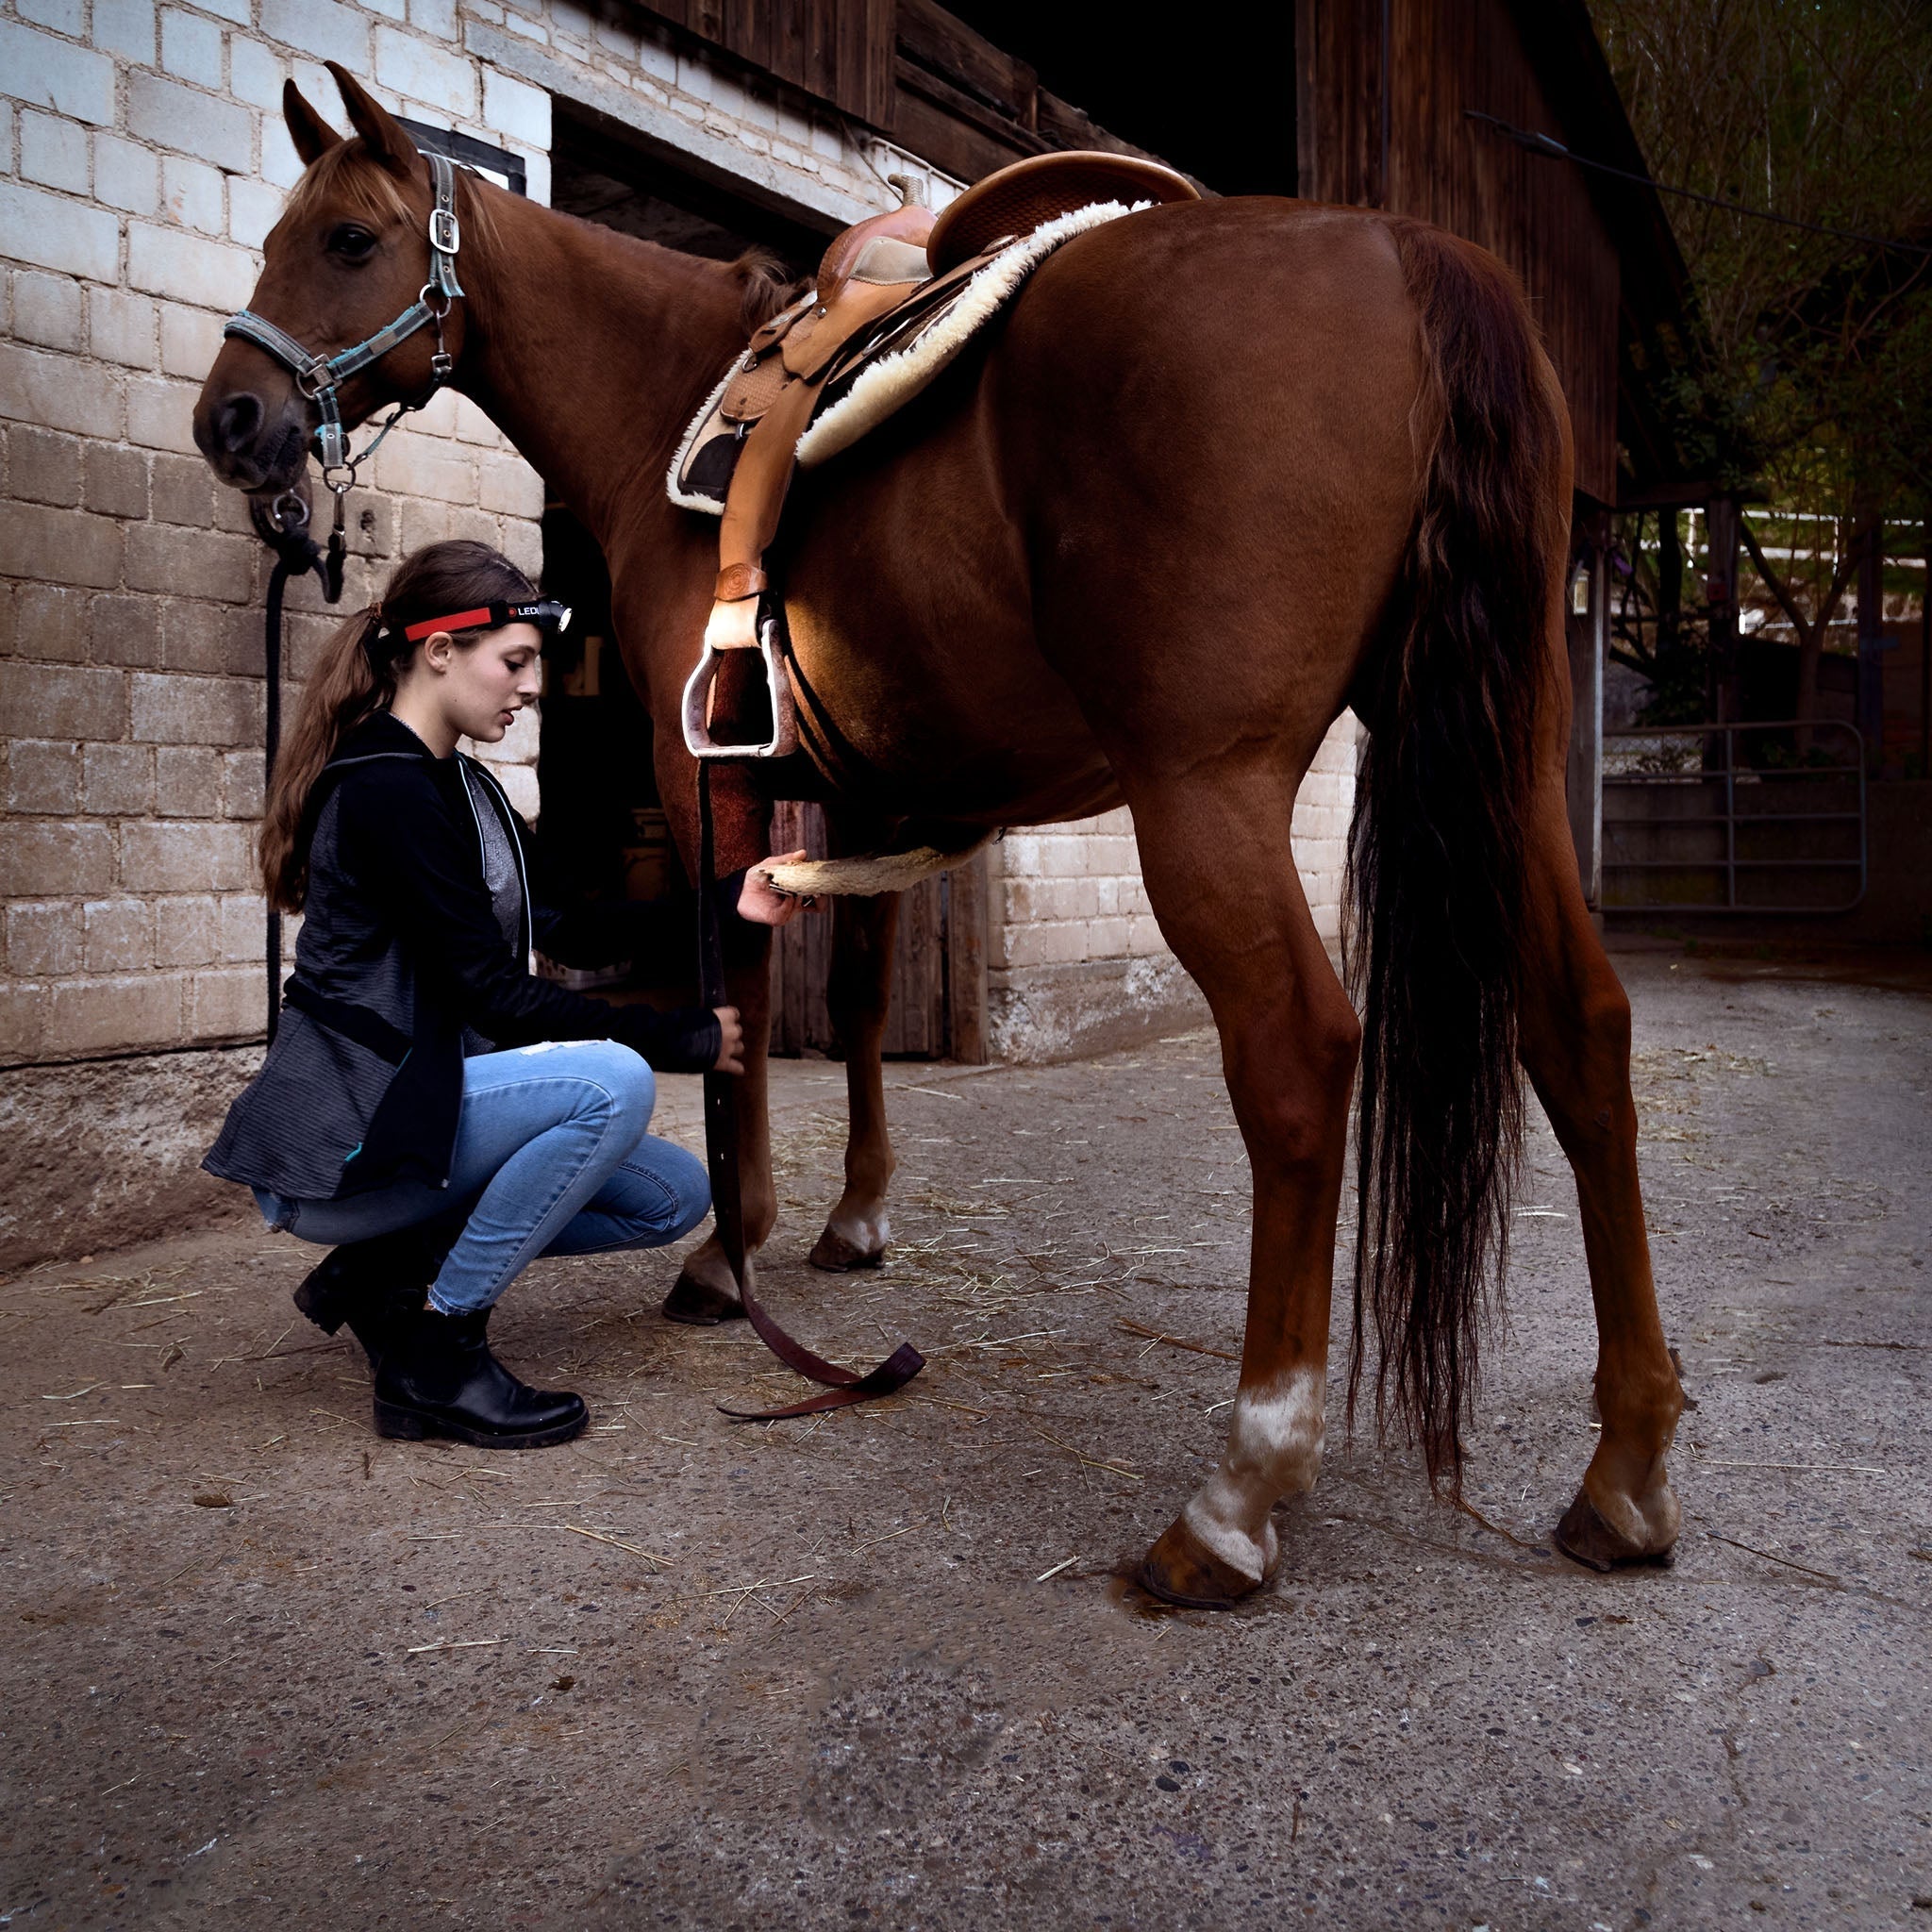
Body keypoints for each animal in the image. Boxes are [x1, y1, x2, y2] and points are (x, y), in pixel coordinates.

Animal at [193, 64, 1685, 1607]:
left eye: (348, 240)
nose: (232, 420)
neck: (664, 399)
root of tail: (1410, 254)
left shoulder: (708, 775)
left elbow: (737, 1000)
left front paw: (728, 1259)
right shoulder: (868, 790)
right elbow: (851, 999)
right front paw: (854, 1223)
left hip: (1207, 795)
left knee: (1298, 1057)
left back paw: (1236, 1496)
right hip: (1507, 770)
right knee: (1581, 1029)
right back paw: (1623, 1473)